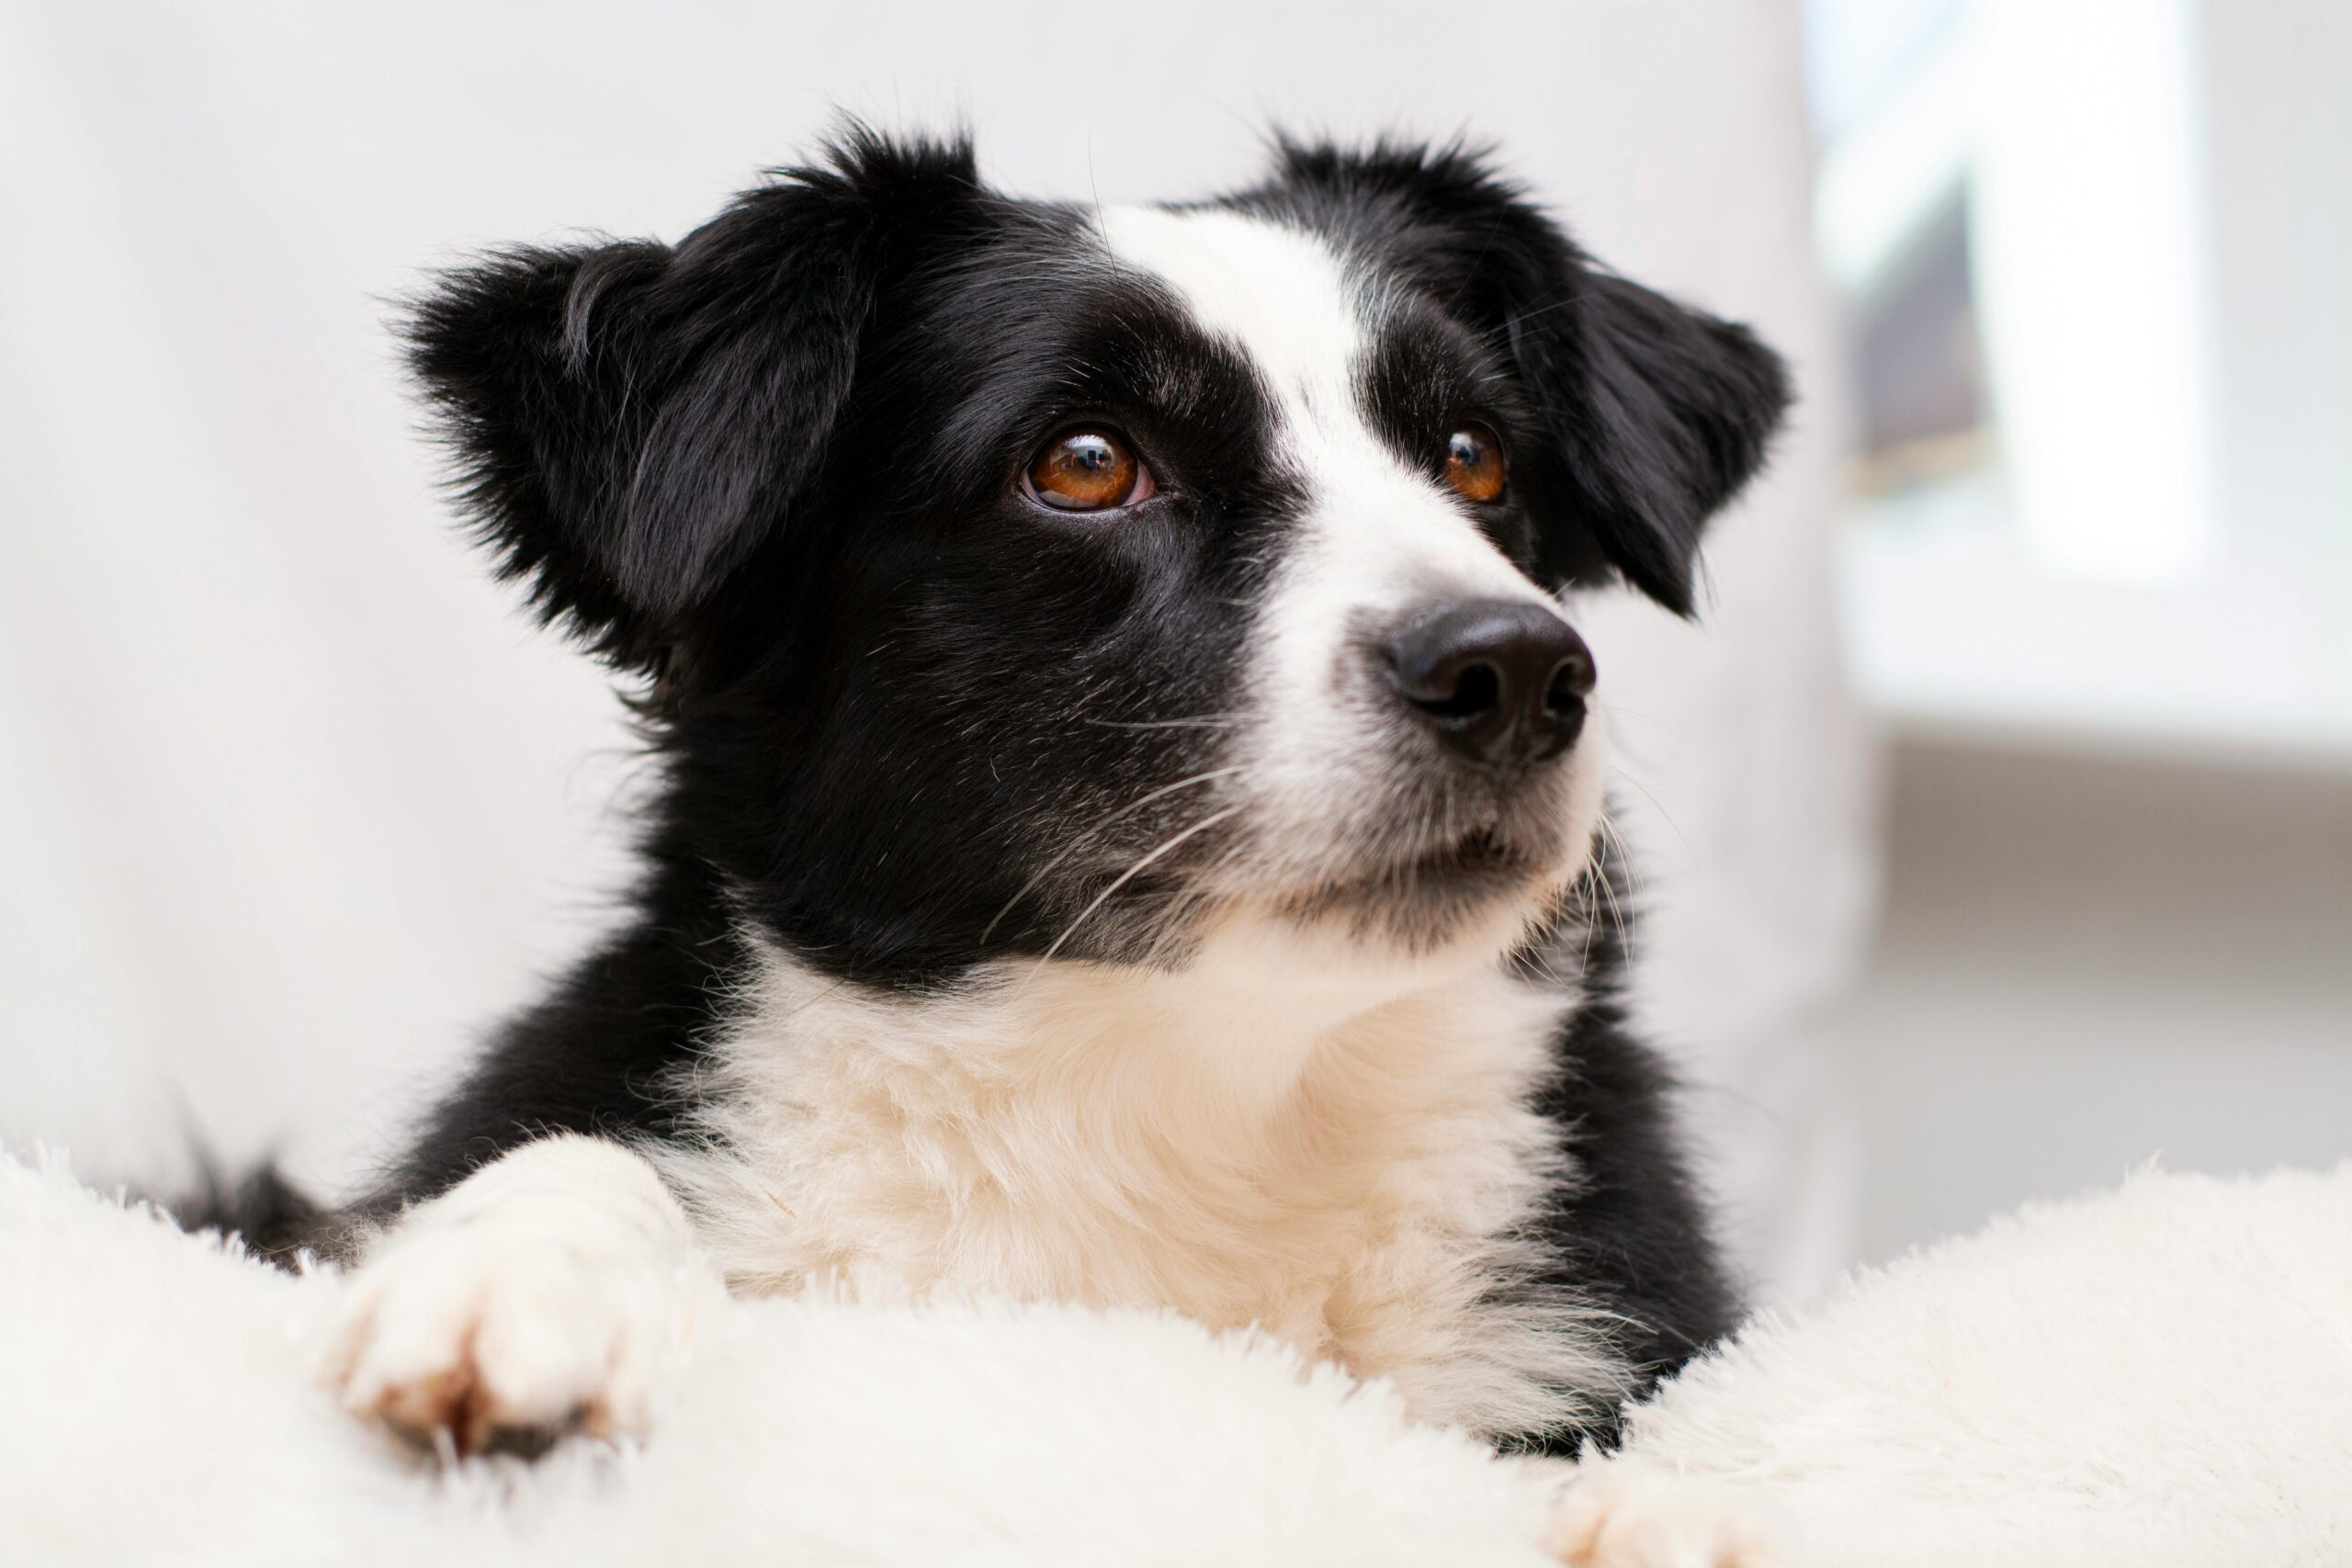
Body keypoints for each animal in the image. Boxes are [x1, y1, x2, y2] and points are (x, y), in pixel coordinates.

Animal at [192, 129, 1787, 1466]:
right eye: (1083, 464)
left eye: (1476, 455)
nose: (1516, 670)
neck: (1178, 1101)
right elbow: (568, 1158)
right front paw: (517, 1276)